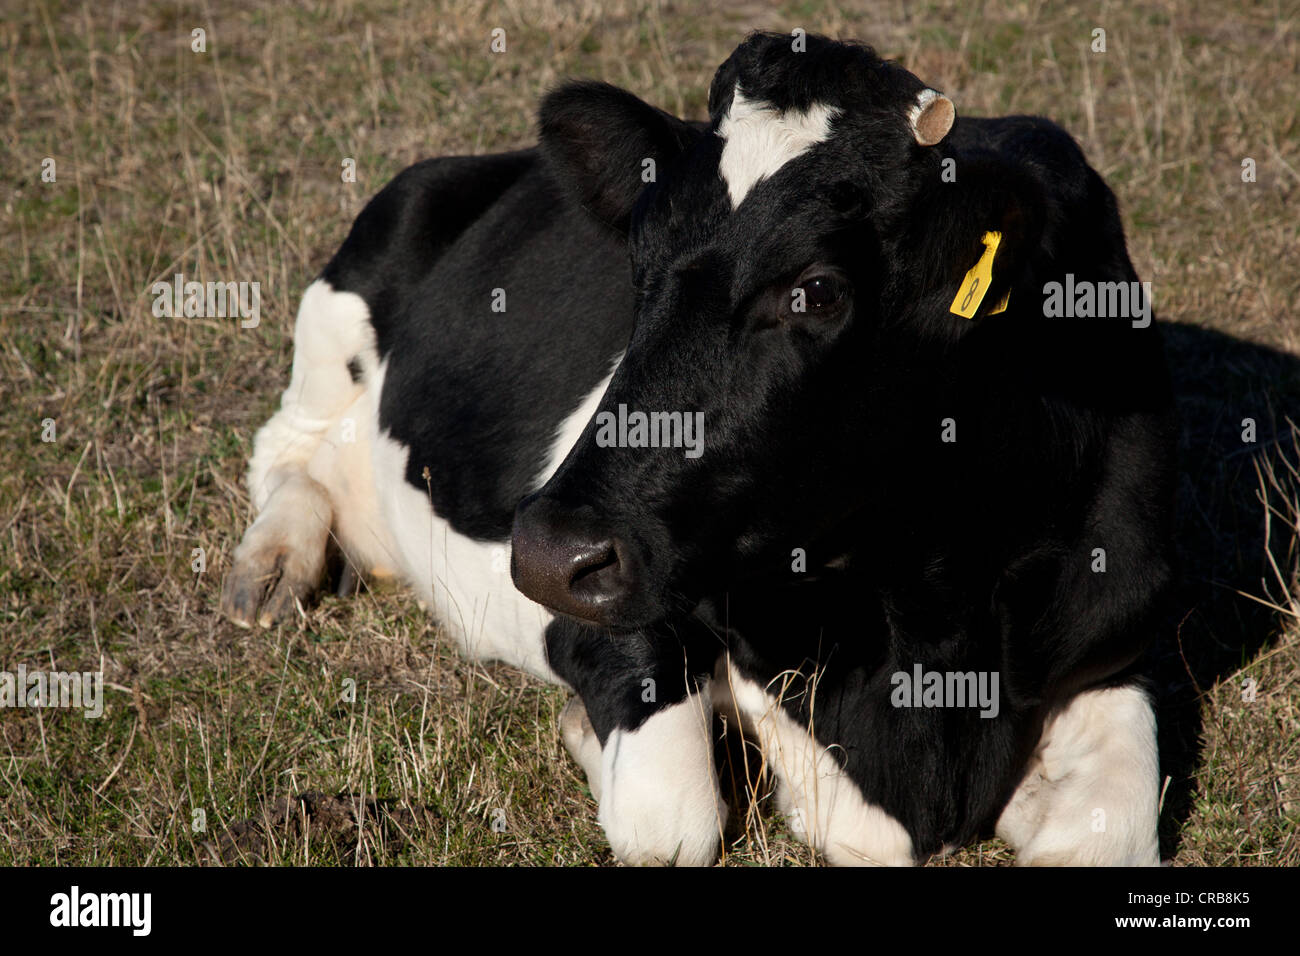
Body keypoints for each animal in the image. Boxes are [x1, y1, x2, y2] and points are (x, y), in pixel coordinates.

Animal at [221, 32, 1175, 867]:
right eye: (638, 264)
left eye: (817, 290)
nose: (547, 550)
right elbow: (672, 824)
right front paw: (587, 729)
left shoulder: (1114, 632)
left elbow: (1101, 837)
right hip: (360, 273)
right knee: (286, 448)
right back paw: (272, 568)